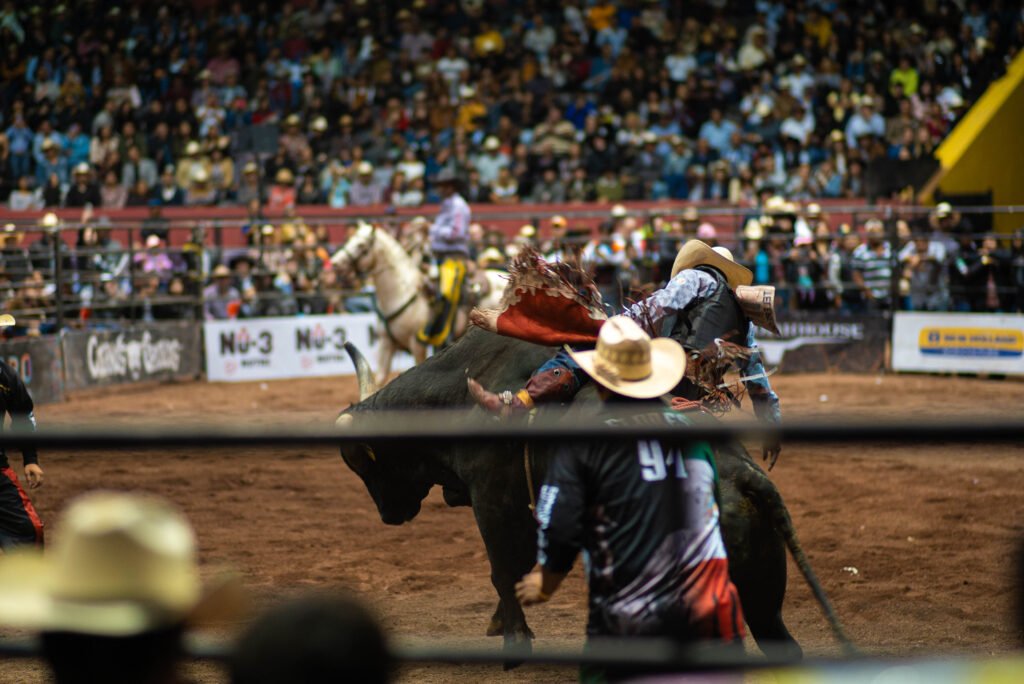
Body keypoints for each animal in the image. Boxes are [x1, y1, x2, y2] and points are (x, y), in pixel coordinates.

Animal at [336, 327, 852, 659]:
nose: (389, 515)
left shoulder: (495, 502)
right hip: (761, 586)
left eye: (362, 464)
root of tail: (745, 476)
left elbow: (503, 569)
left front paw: (514, 640)